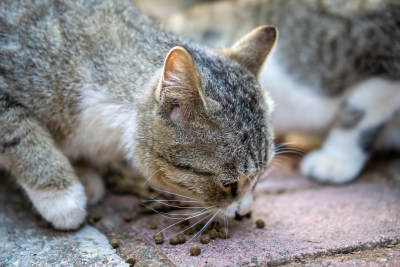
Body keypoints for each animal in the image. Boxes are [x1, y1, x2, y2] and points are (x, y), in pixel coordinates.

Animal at [0, 0, 276, 230]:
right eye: (229, 184)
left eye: (260, 176)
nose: (244, 211)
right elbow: (22, 138)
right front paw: (62, 197)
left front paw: (83, 174)